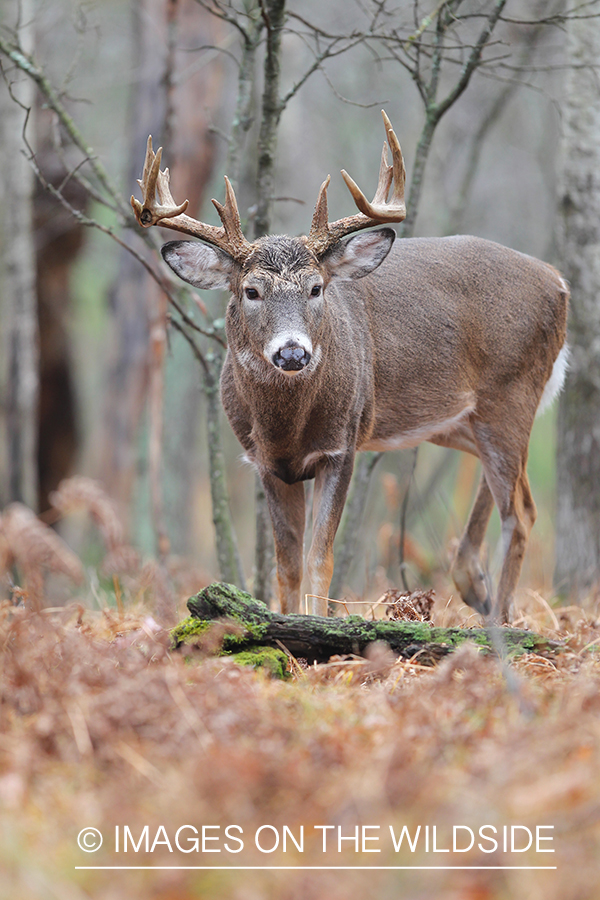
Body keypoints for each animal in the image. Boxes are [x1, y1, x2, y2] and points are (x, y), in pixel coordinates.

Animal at [131, 110, 568, 624]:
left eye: (316, 288)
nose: (293, 353)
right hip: (461, 420)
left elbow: (320, 558)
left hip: (511, 394)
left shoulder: (340, 446)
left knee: (521, 512)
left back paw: (498, 619)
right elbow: (286, 566)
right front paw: (285, 622)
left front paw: (317, 625)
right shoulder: (265, 463)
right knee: (511, 489)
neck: (287, 427)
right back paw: (474, 587)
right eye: (250, 291)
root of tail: (558, 281)